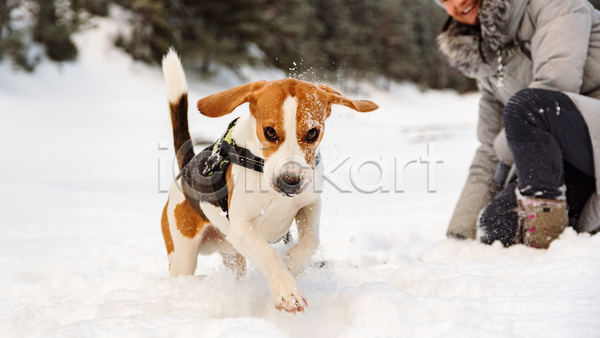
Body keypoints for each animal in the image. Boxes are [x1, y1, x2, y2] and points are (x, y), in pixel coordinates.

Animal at [159, 49, 376, 314]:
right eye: (270, 132)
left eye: (312, 133)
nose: (289, 182)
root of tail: (186, 167)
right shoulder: (241, 229)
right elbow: (268, 254)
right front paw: (287, 289)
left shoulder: (309, 204)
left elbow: (311, 241)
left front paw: (292, 265)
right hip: (183, 255)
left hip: (233, 257)